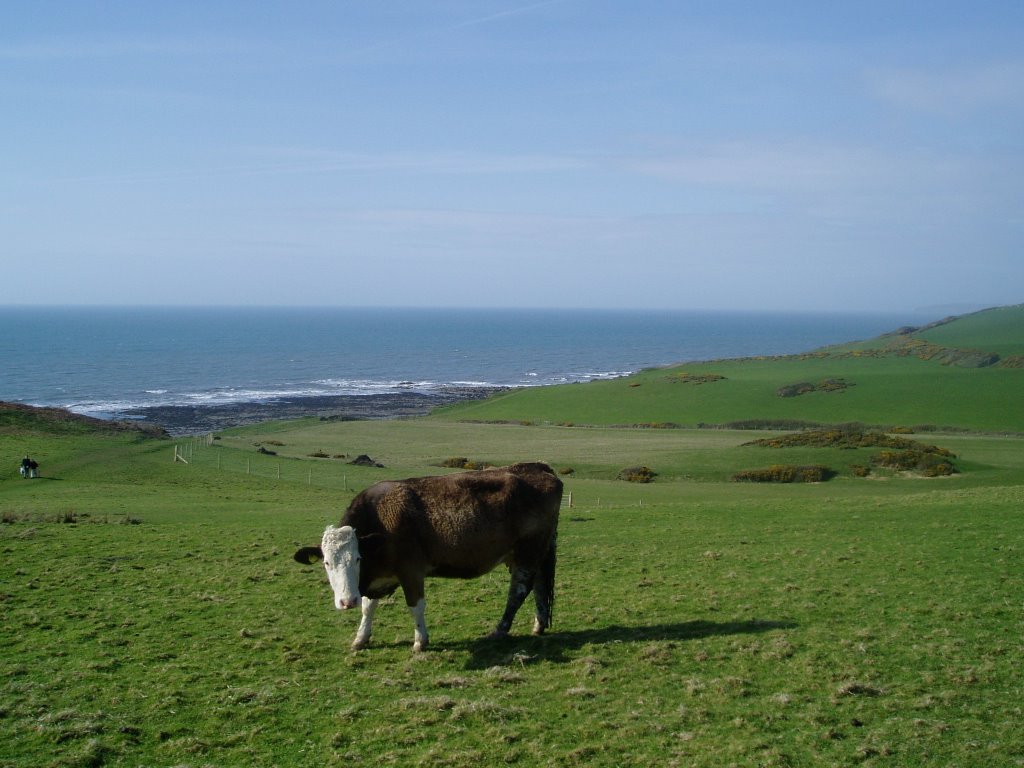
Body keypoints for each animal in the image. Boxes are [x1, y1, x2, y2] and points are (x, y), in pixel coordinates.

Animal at [292, 462, 565, 655]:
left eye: (358, 558)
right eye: (327, 563)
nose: (346, 601)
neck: (380, 520)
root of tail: (538, 467)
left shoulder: (411, 570)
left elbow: (416, 606)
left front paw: (420, 641)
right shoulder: (379, 576)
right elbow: (368, 607)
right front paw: (361, 638)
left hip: (527, 552)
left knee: (519, 591)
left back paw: (500, 630)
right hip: (535, 554)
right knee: (539, 586)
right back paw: (539, 624)